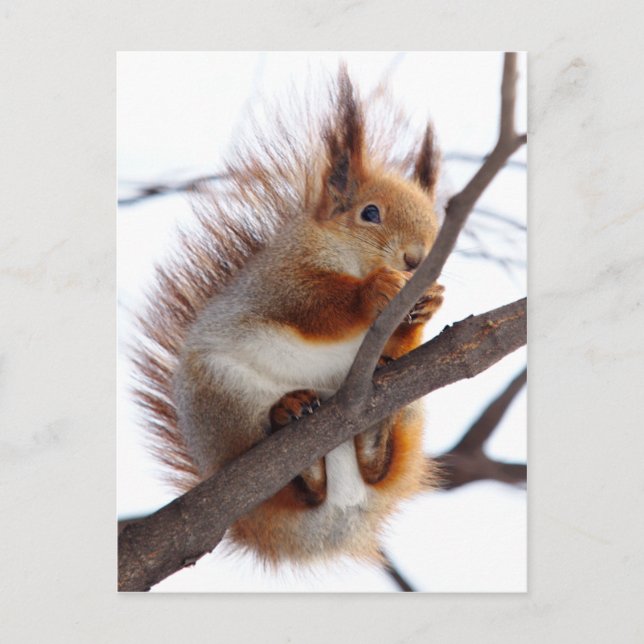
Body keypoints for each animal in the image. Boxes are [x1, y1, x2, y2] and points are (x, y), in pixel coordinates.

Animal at [133, 66, 445, 567]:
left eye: (438, 225)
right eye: (369, 213)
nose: (416, 261)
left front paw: (425, 306)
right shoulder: (278, 282)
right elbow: (314, 306)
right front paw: (374, 290)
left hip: (411, 407)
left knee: (375, 468)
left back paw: (371, 437)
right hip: (222, 396)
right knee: (290, 484)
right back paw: (292, 417)